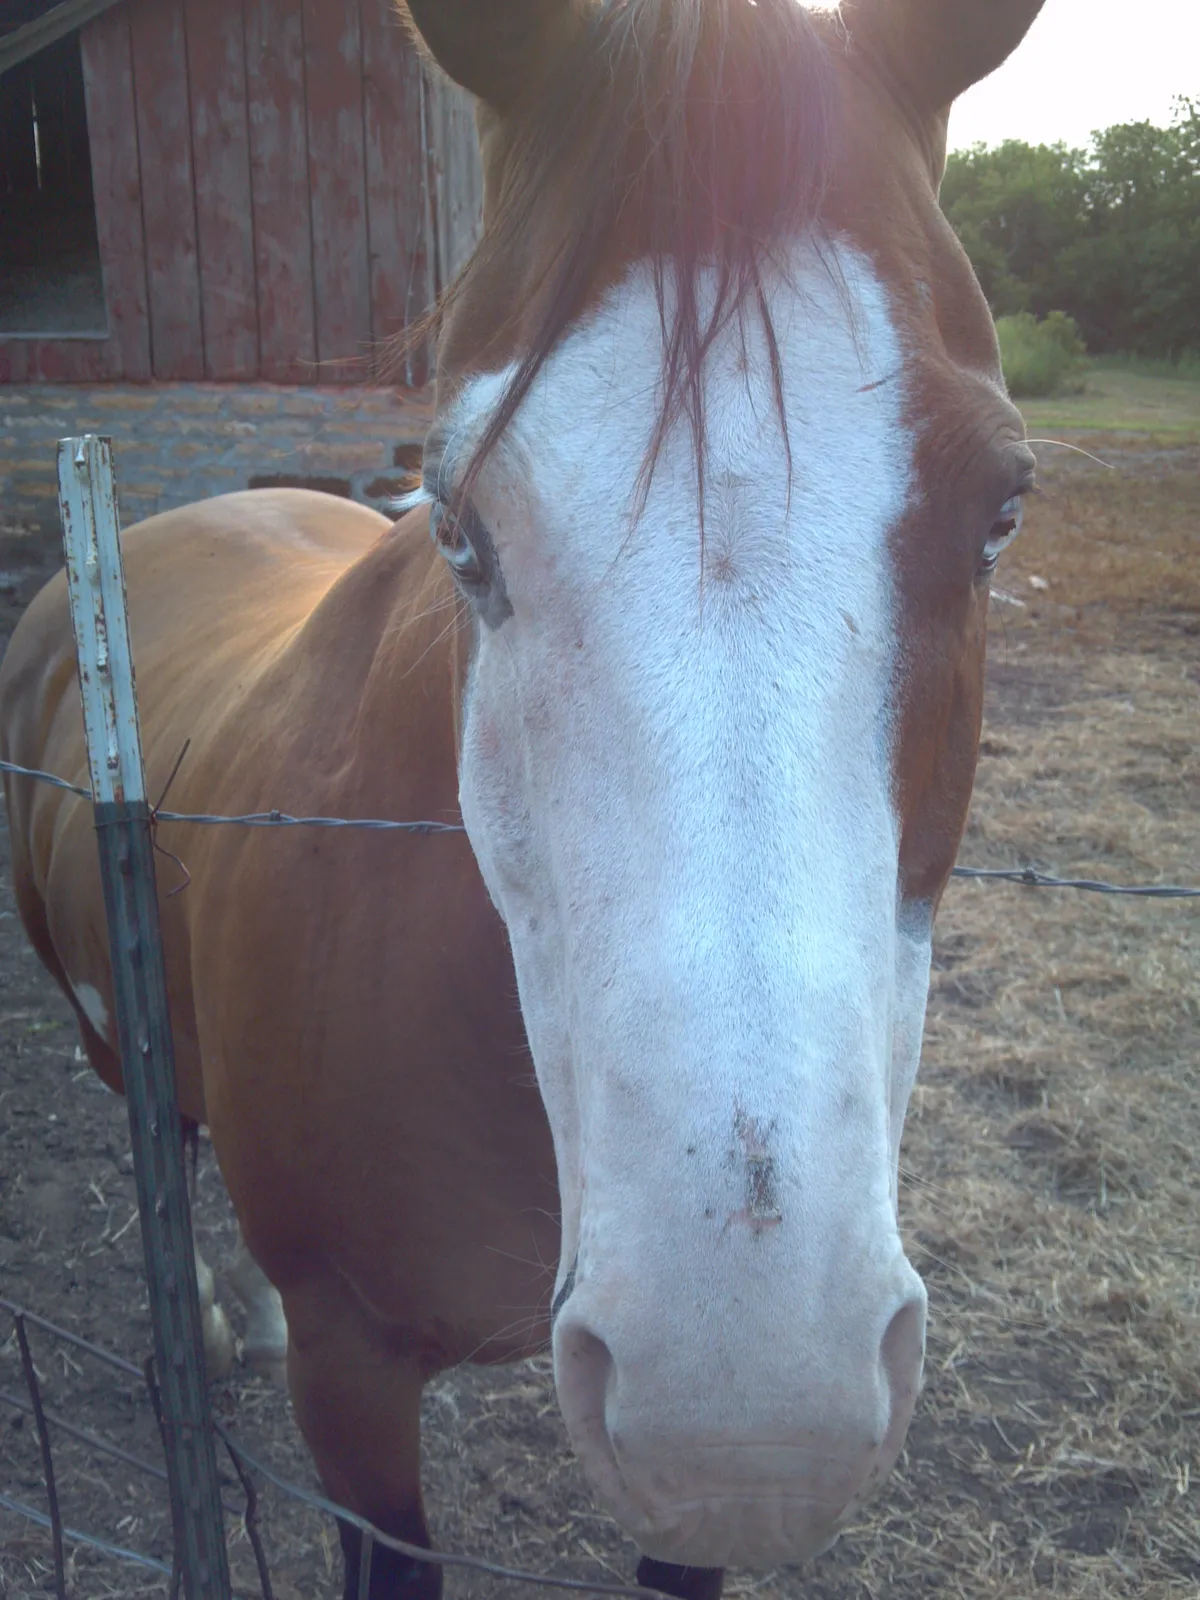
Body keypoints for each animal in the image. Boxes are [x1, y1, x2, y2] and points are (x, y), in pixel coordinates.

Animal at [0, 0, 1046, 1594]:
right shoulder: (354, 1385)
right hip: (106, 1023)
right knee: (163, 1133)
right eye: (460, 529)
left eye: (1000, 513)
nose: (745, 1395)